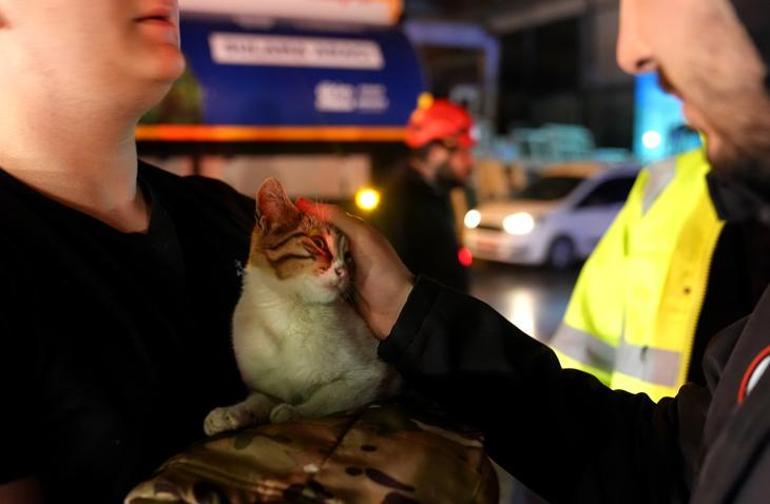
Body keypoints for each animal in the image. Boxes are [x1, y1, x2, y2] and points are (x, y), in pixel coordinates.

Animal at [204, 179, 400, 436]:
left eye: (348, 256)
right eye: (318, 243)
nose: (343, 271)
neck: (288, 308)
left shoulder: (369, 376)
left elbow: (326, 398)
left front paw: (294, 412)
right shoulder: (269, 388)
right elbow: (257, 402)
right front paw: (231, 413)